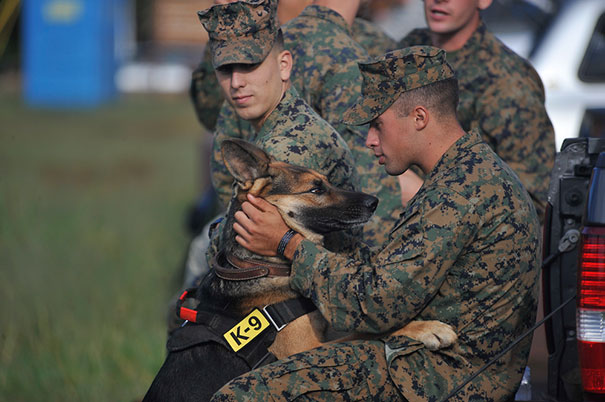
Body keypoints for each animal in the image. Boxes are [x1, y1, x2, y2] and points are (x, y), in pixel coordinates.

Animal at [143, 140, 452, 400]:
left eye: (327, 182)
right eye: (315, 189)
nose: (373, 202)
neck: (259, 268)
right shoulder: (306, 351)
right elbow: (369, 333)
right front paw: (427, 328)